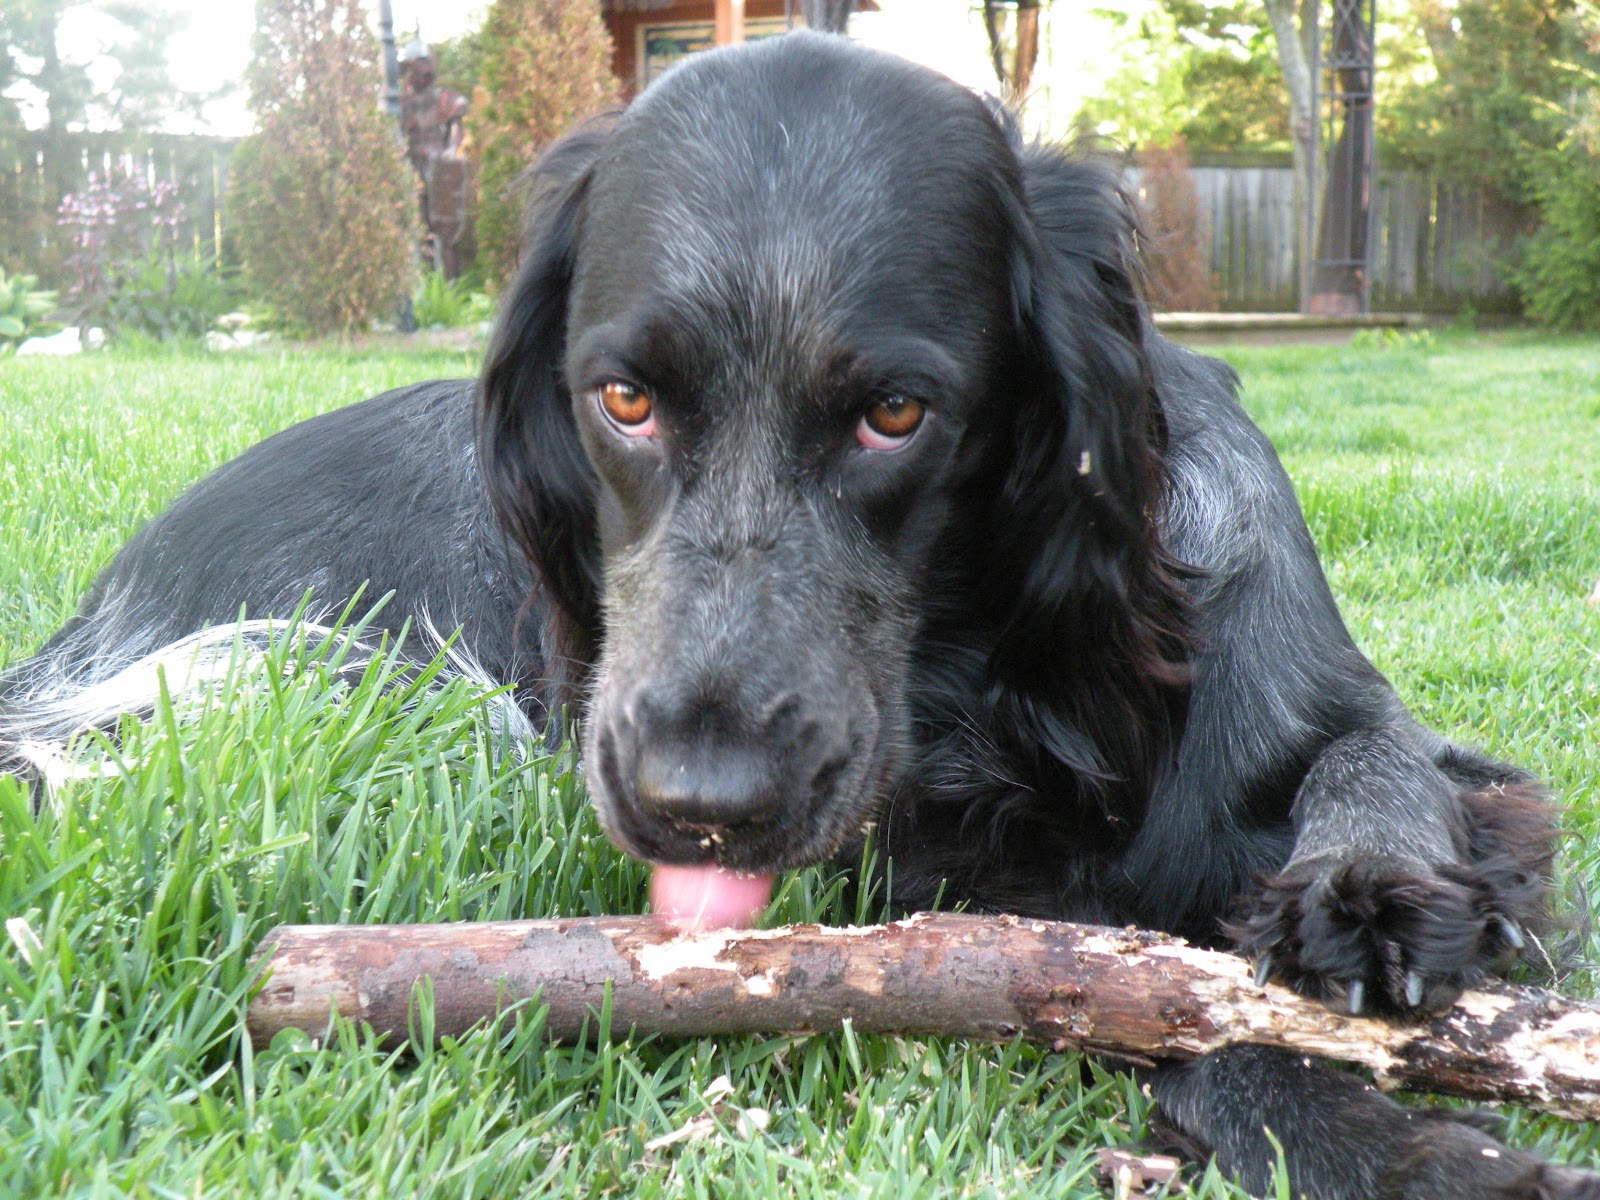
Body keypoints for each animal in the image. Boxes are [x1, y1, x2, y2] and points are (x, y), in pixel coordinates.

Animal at [0, 32, 1593, 1196]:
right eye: (622, 398)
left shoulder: (1349, 704)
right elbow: (1144, 991)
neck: (1019, 687)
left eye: (896, 414)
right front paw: (1391, 1145)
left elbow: (1375, 763)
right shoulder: (943, 891)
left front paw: (1373, 892)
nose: (699, 804)